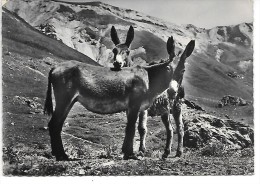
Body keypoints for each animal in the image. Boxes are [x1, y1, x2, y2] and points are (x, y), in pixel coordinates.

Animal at [111, 27, 195, 158]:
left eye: (127, 51)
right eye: (114, 50)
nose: (117, 64)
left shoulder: (143, 108)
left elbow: (141, 128)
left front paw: (141, 150)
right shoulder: (129, 108)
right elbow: (130, 125)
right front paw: (126, 150)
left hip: (177, 106)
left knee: (180, 128)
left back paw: (179, 152)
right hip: (165, 110)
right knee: (170, 129)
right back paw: (166, 152)